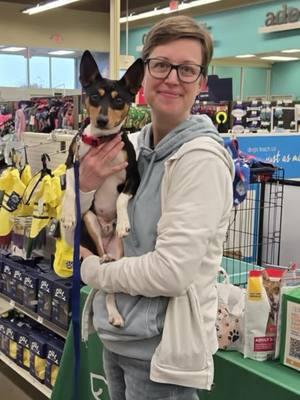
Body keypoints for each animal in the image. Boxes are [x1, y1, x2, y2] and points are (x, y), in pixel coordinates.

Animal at [60, 50, 144, 326]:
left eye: (119, 100)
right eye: (95, 96)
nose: (103, 120)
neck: (101, 141)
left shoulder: (133, 176)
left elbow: (120, 199)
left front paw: (123, 223)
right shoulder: (71, 165)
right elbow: (71, 190)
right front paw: (67, 215)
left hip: (119, 253)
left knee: (109, 288)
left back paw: (115, 313)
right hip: (90, 220)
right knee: (99, 255)